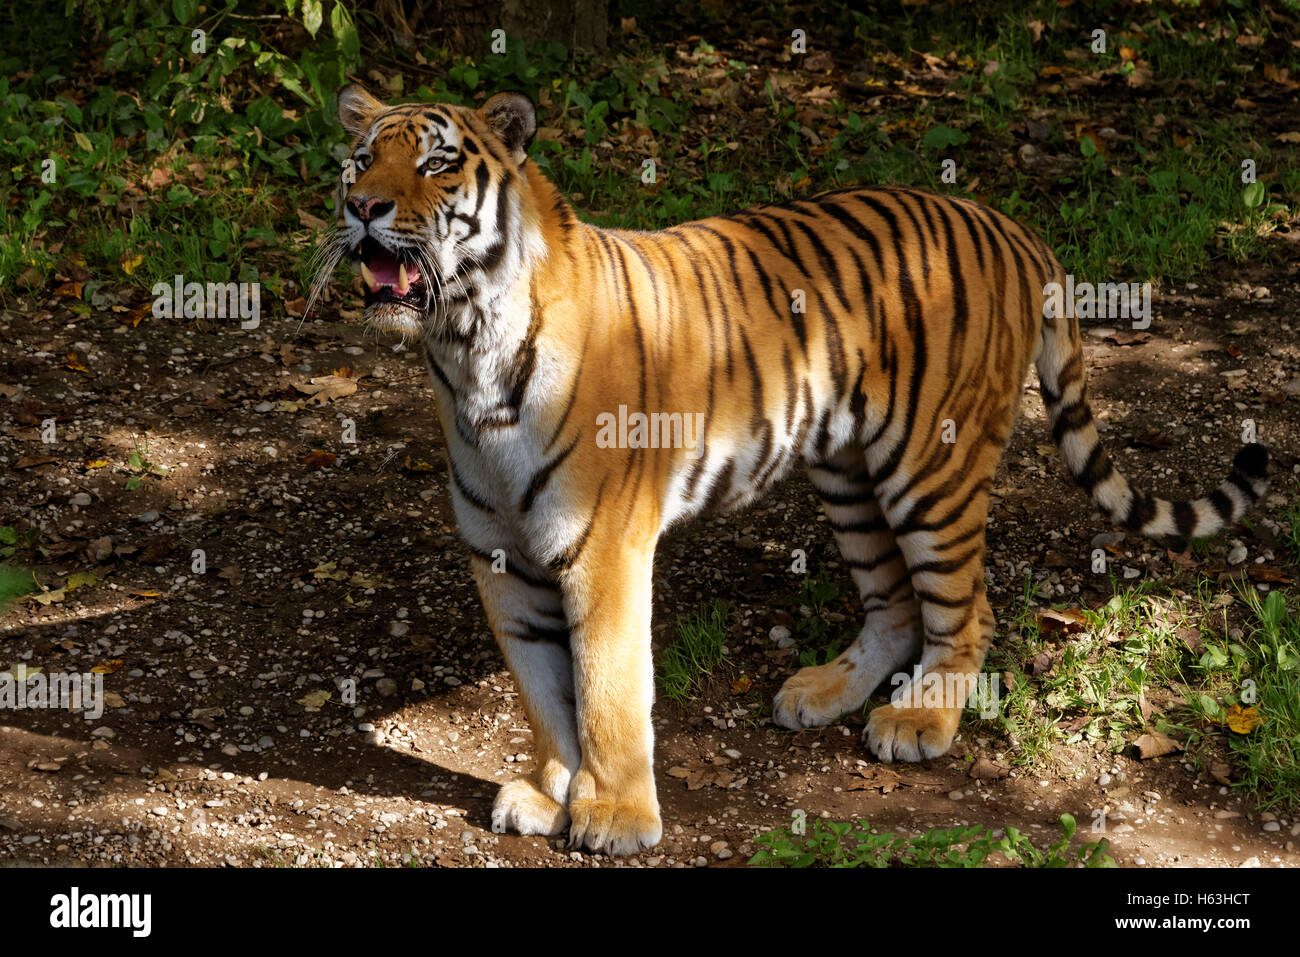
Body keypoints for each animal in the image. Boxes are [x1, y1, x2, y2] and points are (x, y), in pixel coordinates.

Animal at [314, 85, 1268, 858]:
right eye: (361, 159)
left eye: (436, 162)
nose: (362, 206)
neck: (465, 353)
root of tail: (1007, 223)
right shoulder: (502, 560)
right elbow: (543, 691)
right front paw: (551, 793)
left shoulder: (604, 550)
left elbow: (607, 688)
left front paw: (614, 815)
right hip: (849, 474)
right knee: (894, 603)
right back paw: (823, 691)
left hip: (933, 471)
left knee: (967, 609)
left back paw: (920, 717)